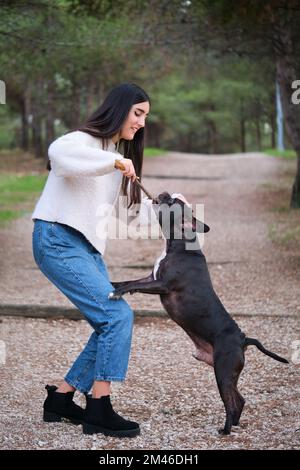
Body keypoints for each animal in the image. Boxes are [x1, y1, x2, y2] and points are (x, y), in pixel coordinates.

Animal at [108, 193, 288, 436]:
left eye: (175, 203)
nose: (167, 194)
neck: (179, 241)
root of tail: (243, 339)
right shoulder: (150, 278)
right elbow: (129, 281)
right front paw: (113, 284)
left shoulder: (162, 284)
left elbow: (132, 285)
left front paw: (116, 292)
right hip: (227, 373)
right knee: (239, 399)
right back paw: (235, 424)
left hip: (223, 372)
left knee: (231, 401)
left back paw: (226, 429)